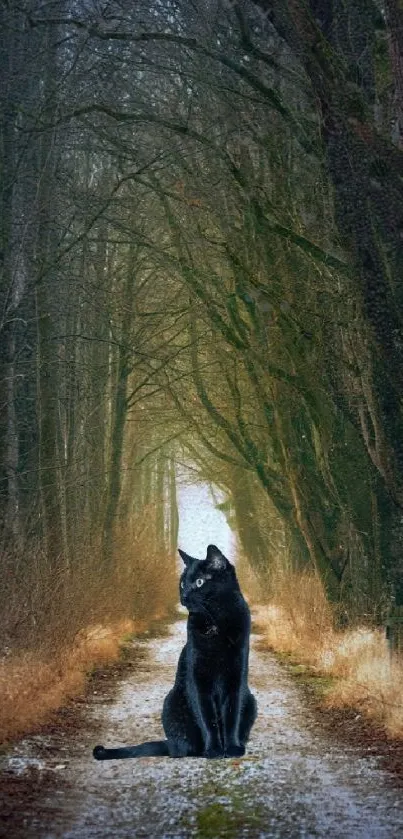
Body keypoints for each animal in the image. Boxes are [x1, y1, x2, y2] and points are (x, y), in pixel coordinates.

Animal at [93, 544, 258, 760]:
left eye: (199, 582)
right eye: (181, 584)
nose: (184, 596)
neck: (215, 620)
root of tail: (169, 744)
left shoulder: (236, 678)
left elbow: (232, 715)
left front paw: (232, 748)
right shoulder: (197, 679)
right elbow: (208, 719)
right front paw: (214, 750)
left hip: (251, 700)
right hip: (171, 702)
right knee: (182, 749)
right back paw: (198, 751)